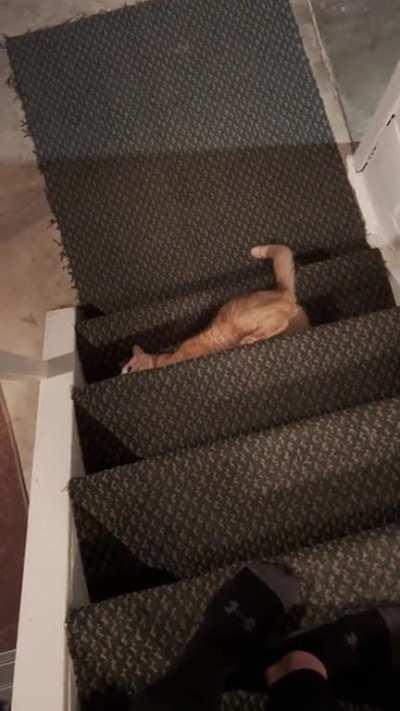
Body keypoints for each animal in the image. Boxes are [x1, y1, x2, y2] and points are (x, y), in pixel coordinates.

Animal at [122, 245, 310, 373]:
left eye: (129, 368)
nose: (123, 374)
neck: (163, 360)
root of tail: (280, 290)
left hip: (248, 319)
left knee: (279, 323)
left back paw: (251, 338)